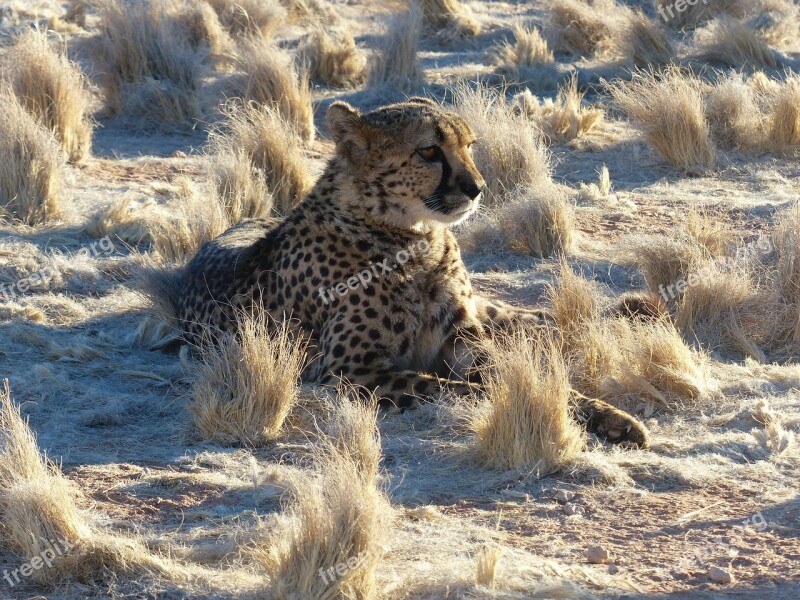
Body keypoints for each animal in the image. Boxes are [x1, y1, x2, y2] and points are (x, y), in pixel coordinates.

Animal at [177, 97, 648, 446]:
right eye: (428, 151)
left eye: (469, 146)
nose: (477, 188)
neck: (415, 239)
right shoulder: (348, 370)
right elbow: (454, 388)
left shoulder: (462, 339)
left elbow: (514, 374)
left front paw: (610, 416)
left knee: (533, 318)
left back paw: (629, 312)